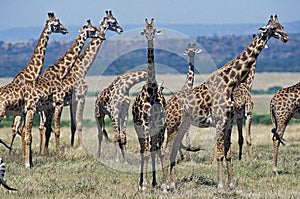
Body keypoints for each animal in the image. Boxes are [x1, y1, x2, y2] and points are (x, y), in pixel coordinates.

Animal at [0, 12, 68, 152]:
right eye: (57, 23)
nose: (65, 30)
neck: (32, 75)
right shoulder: (29, 108)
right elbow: (25, 133)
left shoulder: (25, 110)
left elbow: (24, 131)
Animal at [21, 19, 101, 168]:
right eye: (93, 30)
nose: (102, 35)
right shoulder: (67, 101)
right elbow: (62, 127)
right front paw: (63, 153)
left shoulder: (68, 102)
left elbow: (72, 125)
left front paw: (72, 148)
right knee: (33, 128)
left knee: (34, 128)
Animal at [162, 14, 288, 192]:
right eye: (273, 28)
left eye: (282, 25)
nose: (286, 37)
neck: (230, 82)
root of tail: (169, 103)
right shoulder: (220, 121)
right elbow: (219, 153)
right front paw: (220, 185)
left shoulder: (228, 122)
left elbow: (228, 153)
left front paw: (231, 184)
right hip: (173, 124)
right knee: (166, 151)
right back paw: (164, 186)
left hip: (182, 125)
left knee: (172, 150)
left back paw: (173, 185)